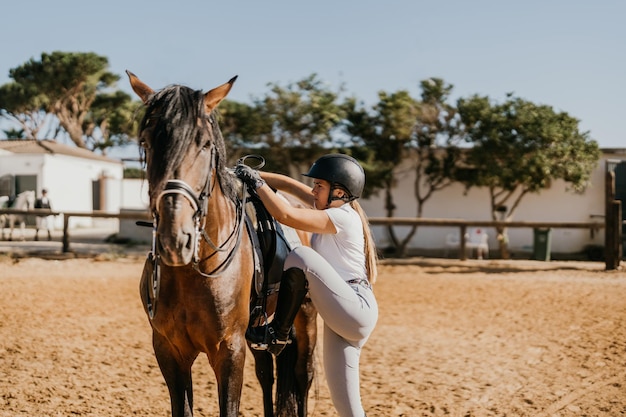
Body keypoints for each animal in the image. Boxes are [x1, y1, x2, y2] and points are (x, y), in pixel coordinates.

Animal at [125, 72, 316, 416]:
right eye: (147, 142)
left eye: (204, 144)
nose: (175, 239)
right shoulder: (169, 351)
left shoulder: (229, 350)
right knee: (266, 373)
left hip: (306, 316)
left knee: (302, 375)